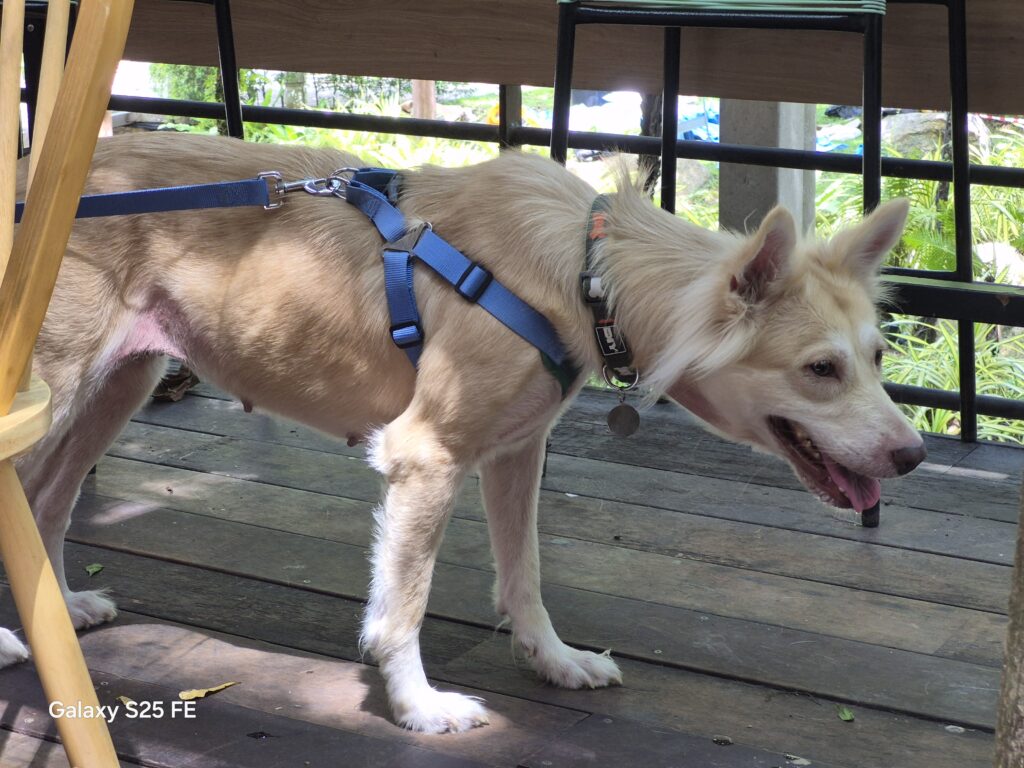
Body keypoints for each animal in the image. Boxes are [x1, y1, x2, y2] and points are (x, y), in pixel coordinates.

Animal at [0, 132, 925, 733]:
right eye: (820, 370)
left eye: (879, 356)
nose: (913, 455)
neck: (586, 272)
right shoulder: (426, 459)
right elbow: (401, 607)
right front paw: (418, 709)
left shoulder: (516, 452)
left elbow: (525, 576)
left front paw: (554, 661)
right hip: (58, 386)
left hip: (119, 383)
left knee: (45, 503)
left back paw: (62, 611)